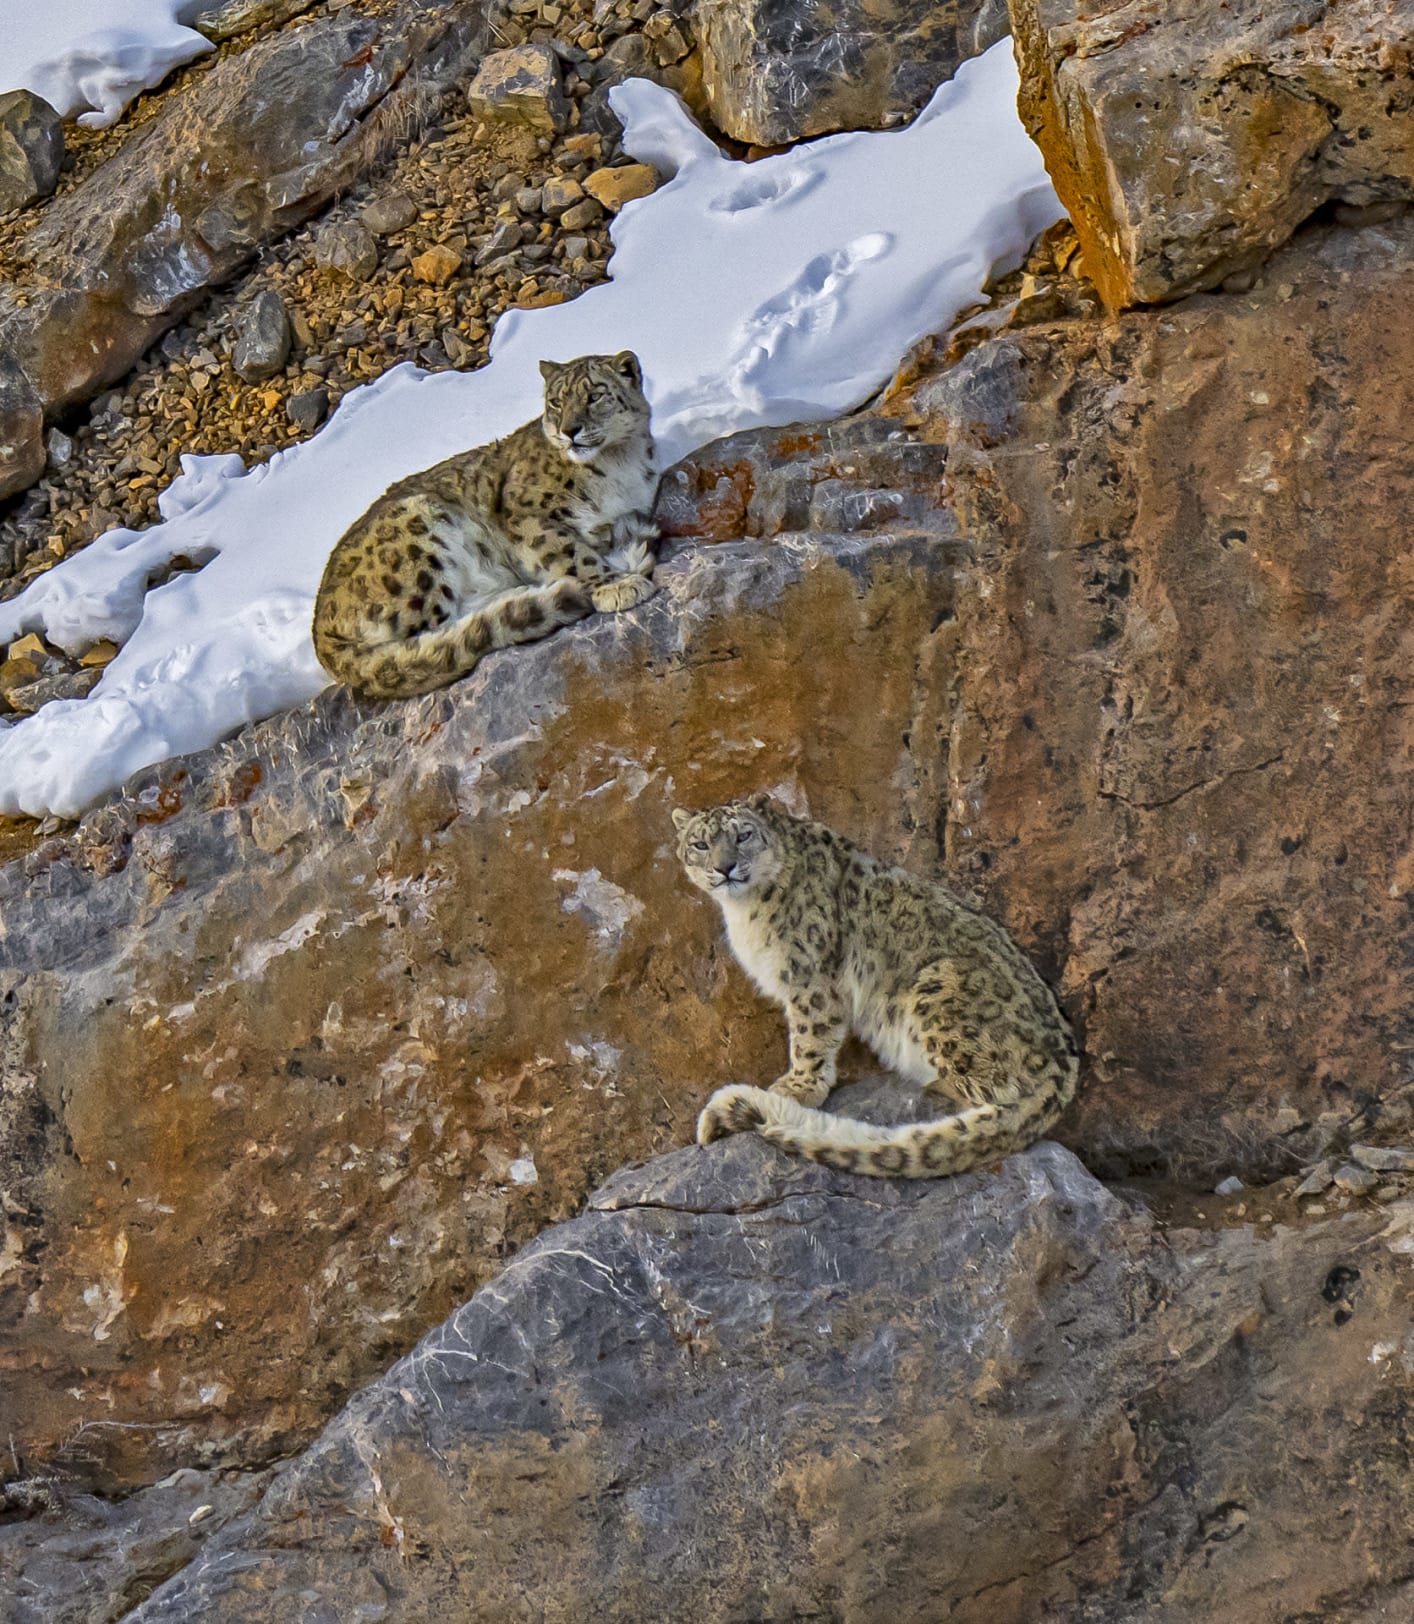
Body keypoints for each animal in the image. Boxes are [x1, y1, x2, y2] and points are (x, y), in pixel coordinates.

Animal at [312, 351, 660, 700]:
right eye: (556, 402)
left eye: (594, 396)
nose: (569, 430)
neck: (618, 464)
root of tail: (319, 630)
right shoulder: (526, 515)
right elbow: (571, 551)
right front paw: (617, 585)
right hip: (418, 543)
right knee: (431, 638)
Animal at [672, 794, 1079, 1178]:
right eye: (700, 844)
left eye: (743, 835)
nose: (724, 868)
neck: (744, 913)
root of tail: (1063, 1074)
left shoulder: (810, 978)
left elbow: (808, 1037)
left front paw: (798, 1087)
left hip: (937, 984)